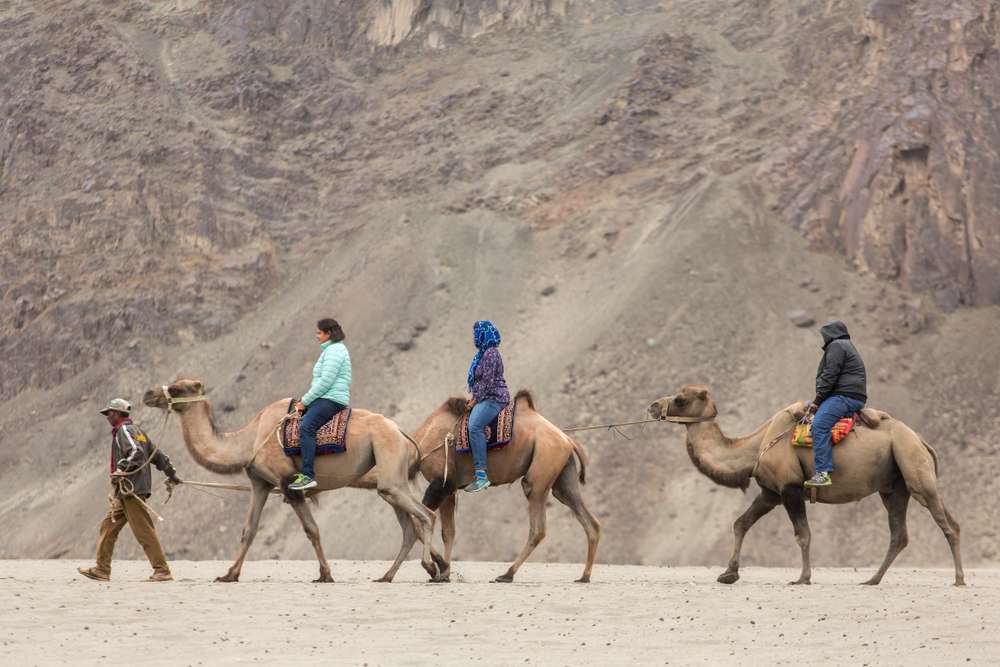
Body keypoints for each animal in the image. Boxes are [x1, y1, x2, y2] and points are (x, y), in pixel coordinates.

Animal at [141, 378, 440, 583]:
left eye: (177, 389)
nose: (147, 394)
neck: (250, 439)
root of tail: (402, 432)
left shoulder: (289, 485)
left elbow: (312, 529)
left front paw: (325, 574)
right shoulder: (260, 483)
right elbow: (249, 529)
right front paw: (229, 574)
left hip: (390, 467)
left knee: (426, 515)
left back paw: (431, 568)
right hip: (392, 481)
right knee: (409, 527)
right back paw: (389, 576)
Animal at [375, 390, 601, 583]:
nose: (381, 489)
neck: (422, 444)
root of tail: (568, 439)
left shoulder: (441, 483)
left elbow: (421, 521)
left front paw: (434, 568)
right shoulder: (450, 489)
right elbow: (448, 531)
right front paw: (444, 572)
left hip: (541, 470)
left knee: (537, 527)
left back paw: (507, 574)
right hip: (563, 477)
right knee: (589, 520)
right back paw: (584, 576)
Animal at [647, 385, 964, 586]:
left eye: (680, 398)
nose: (652, 406)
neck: (756, 445)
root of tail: (920, 439)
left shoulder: (790, 489)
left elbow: (803, 535)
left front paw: (802, 578)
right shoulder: (770, 493)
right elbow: (741, 523)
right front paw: (728, 574)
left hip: (913, 468)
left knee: (945, 524)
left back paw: (959, 579)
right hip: (894, 486)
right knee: (903, 533)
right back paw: (872, 579)